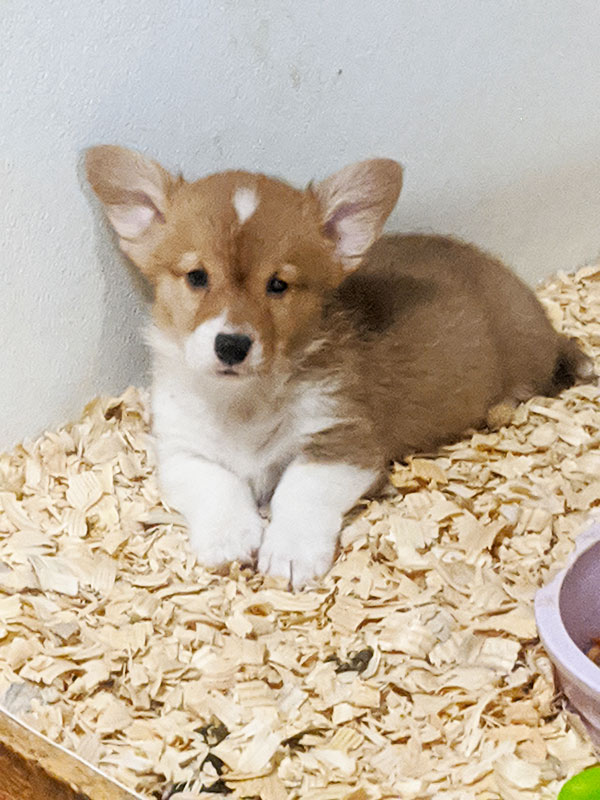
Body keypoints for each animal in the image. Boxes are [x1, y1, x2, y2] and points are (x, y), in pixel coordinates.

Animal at [85, 148, 592, 588]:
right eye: (196, 276)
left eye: (278, 285)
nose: (231, 345)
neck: (244, 403)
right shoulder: (182, 451)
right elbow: (217, 484)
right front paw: (231, 539)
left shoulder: (344, 444)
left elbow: (299, 489)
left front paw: (289, 553)